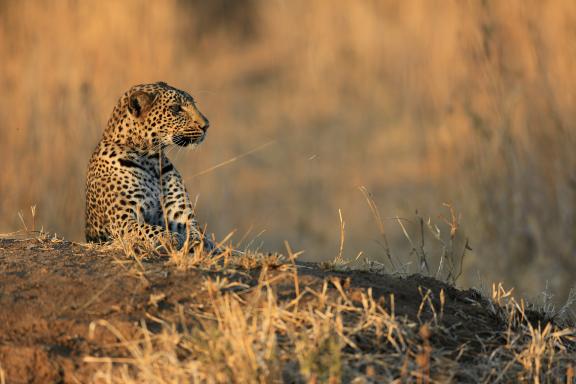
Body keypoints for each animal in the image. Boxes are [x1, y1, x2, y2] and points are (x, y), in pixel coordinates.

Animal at [83, 81, 214, 252]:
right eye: (176, 109)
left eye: (194, 104)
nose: (206, 125)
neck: (150, 160)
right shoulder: (123, 220)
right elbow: (147, 229)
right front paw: (170, 237)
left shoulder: (181, 215)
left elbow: (195, 230)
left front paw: (200, 242)